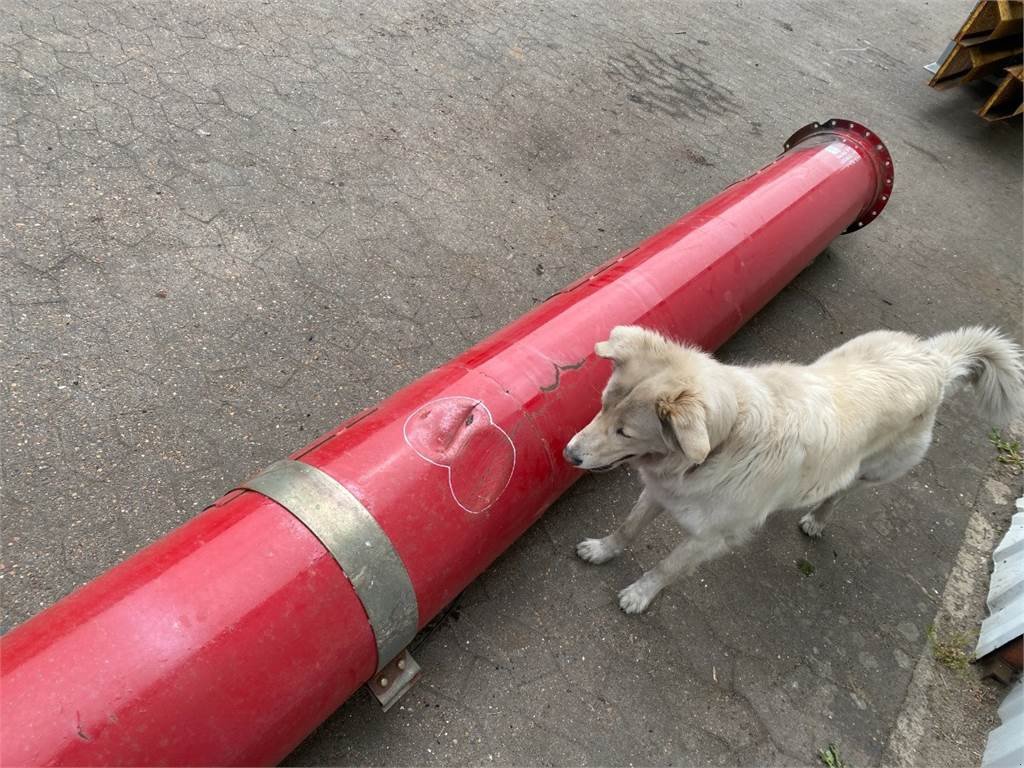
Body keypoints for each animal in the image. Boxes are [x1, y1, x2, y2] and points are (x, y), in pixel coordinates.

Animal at [569, 325, 1024, 614]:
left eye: (625, 432)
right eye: (603, 405)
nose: (569, 455)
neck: (722, 443)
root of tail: (933, 360)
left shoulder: (710, 538)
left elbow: (667, 567)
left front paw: (639, 595)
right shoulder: (661, 492)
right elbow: (627, 527)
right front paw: (603, 550)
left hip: (874, 469)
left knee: (841, 490)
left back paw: (818, 519)